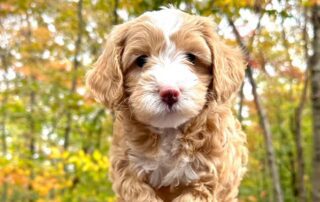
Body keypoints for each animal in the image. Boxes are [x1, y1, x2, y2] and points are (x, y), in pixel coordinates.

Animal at [85, 7, 248, 202]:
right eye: (141, 60)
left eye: (191, 57)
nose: (169, 92)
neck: (169, 132)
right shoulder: (127, 170)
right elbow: (141, 194)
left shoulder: (211, 174)